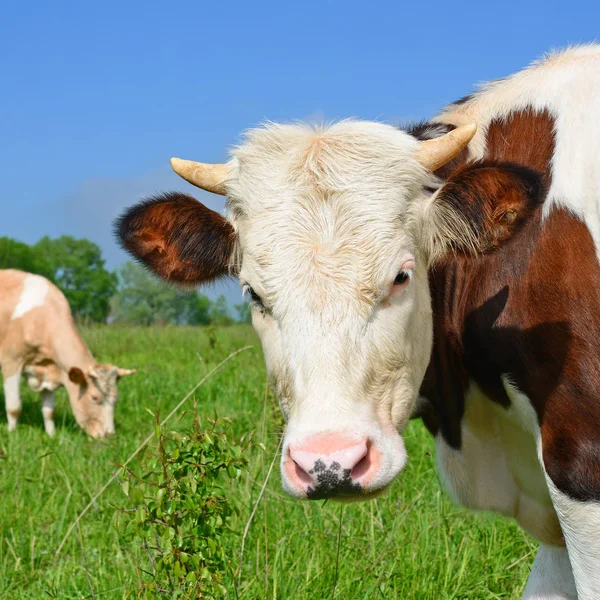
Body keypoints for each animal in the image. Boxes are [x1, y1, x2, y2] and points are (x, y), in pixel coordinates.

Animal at [0, 270, 135, 436]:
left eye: (116, 399)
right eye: (94, 397)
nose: (108, 435)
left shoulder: (48, 368)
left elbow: (49, 412)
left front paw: (51, 436)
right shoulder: (11, 361)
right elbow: (14, 408)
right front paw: (11, 434)